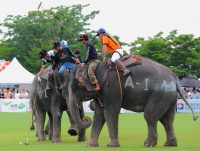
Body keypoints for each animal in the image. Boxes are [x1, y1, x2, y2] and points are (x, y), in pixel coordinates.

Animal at [67, 56, 197, 147]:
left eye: (73, 87)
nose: (85, 119)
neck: (94, 68)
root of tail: (174, 77)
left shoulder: (111, 88)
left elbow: (110, 112)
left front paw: (112, 145)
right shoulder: (101, 92)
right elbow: (98, 115)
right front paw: (90, 145)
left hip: (161, 93)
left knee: (150, 116)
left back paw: (148, 144)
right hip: (170, 97)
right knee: (167, 120)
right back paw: (170, 144)